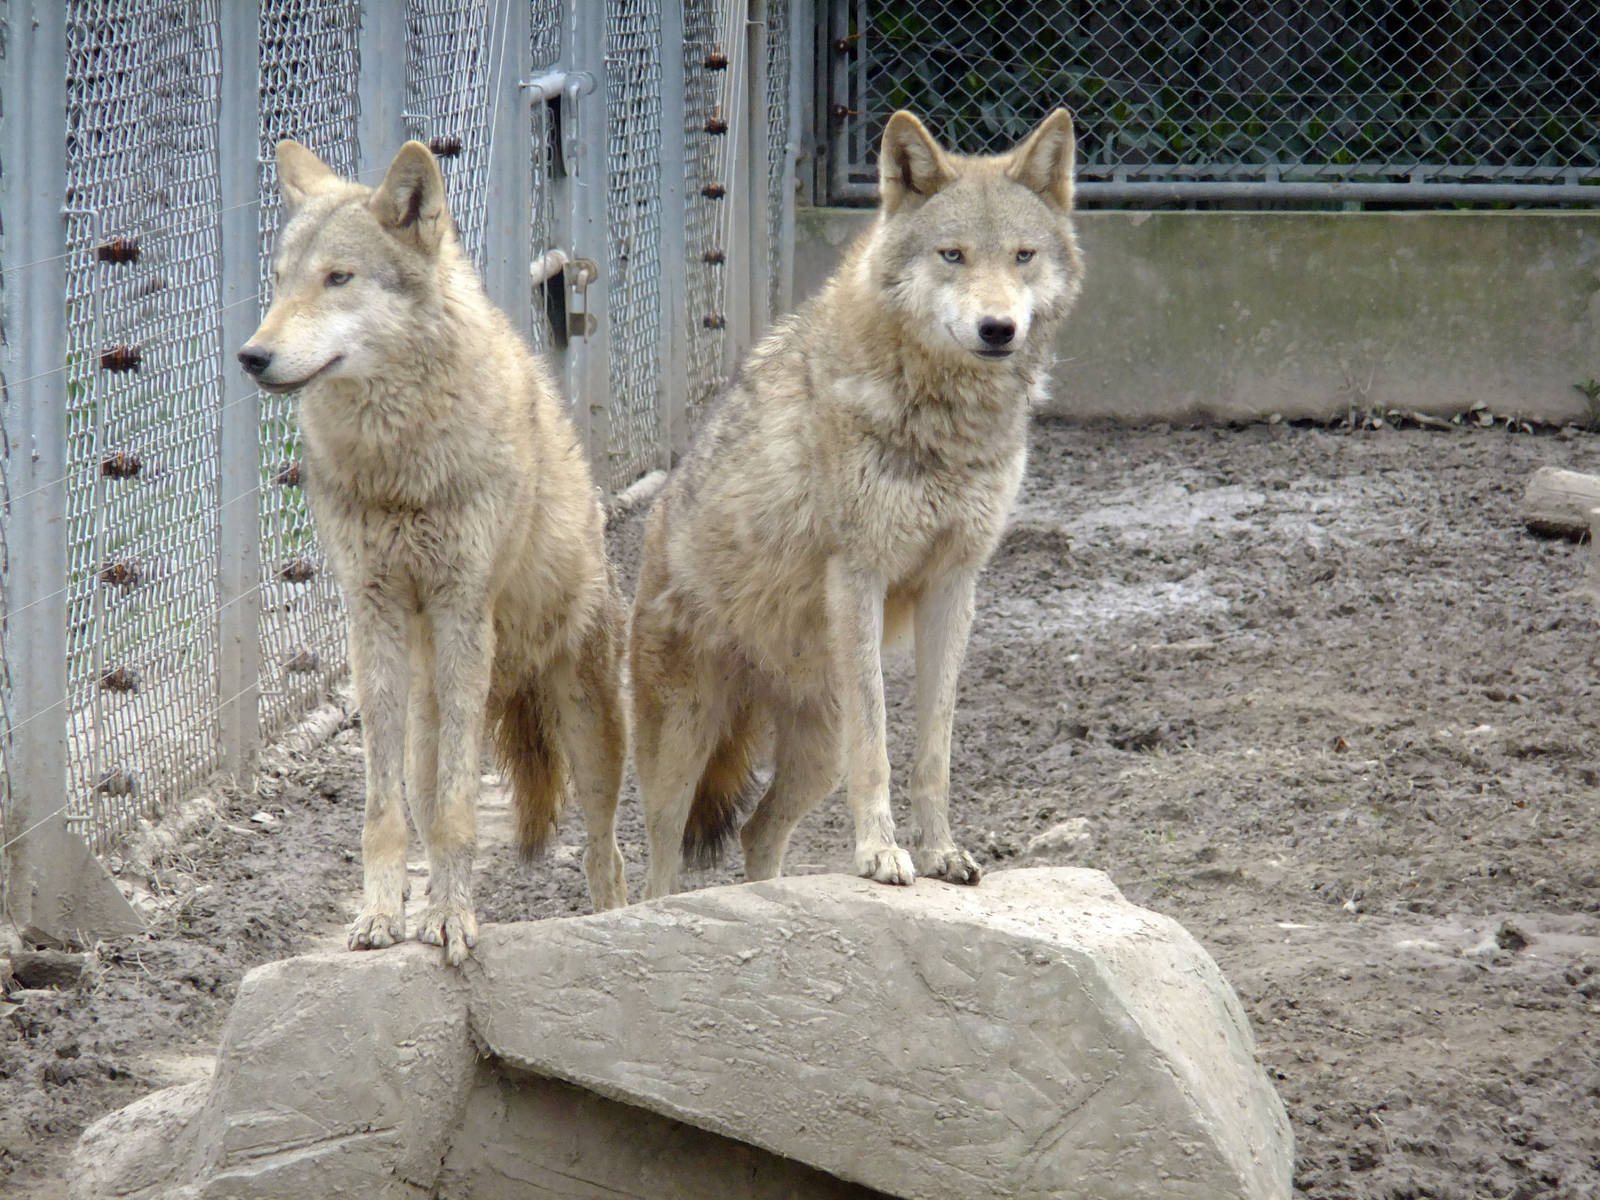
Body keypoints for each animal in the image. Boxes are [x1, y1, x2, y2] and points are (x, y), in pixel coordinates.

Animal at [238, 140, 629, 964]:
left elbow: (457, 814)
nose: (252, 356)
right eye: (281, 280)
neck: (398, 464)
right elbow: (382, 813)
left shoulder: (461, 613)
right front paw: (382, 917)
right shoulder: (372, 618)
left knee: (606, 854)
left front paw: (454, 919)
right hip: (427, 718)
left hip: (590, 735)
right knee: (420, 791)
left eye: (339, 277)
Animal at [630, 109, 1083, 898]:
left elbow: (934, 747)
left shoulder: (956, 583)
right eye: (953, 255)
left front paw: (942, 852)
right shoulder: (858, 574)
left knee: (756, 831)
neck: (946, 422)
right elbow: (879, 747)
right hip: (682, 744)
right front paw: (880, 854)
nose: (998, 329)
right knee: (646, 858)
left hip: (813, 753)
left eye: (1023, 256)